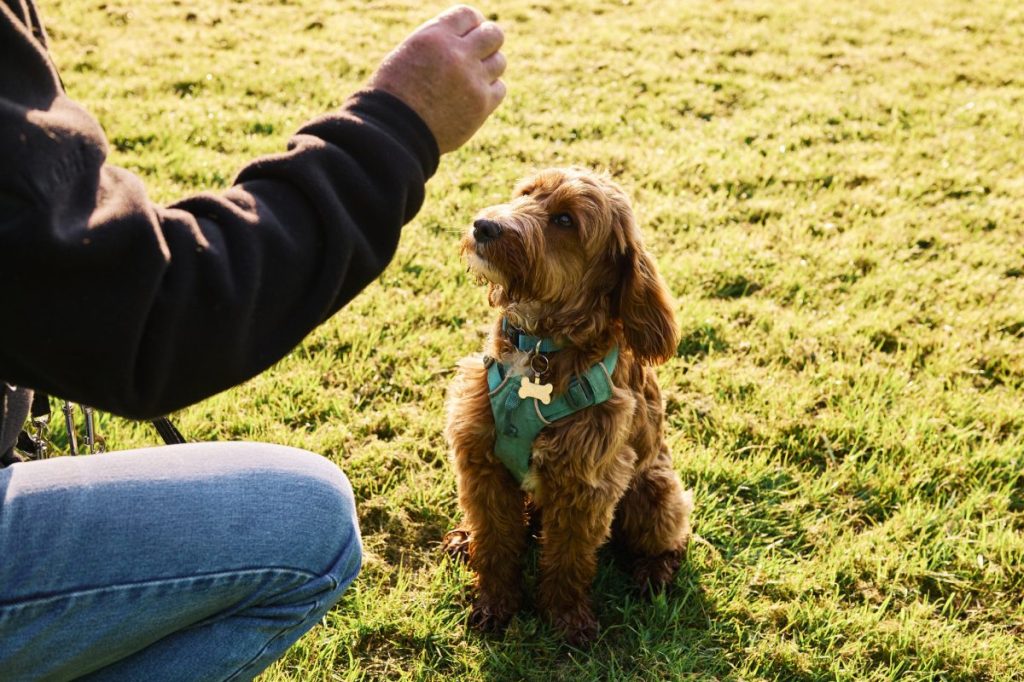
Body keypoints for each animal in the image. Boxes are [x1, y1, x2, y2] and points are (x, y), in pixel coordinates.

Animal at [444, 165, 692, 643]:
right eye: (525, 194)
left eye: (564, 220)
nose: (483, 225)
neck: (540, 346)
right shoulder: (482, 463)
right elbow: (496, 542)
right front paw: (494, 603)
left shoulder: (586, 485)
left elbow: (569, 559)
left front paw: (567, 618)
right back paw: (465, 538)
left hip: (655, 491)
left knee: (670, 538)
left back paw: (654, 572)